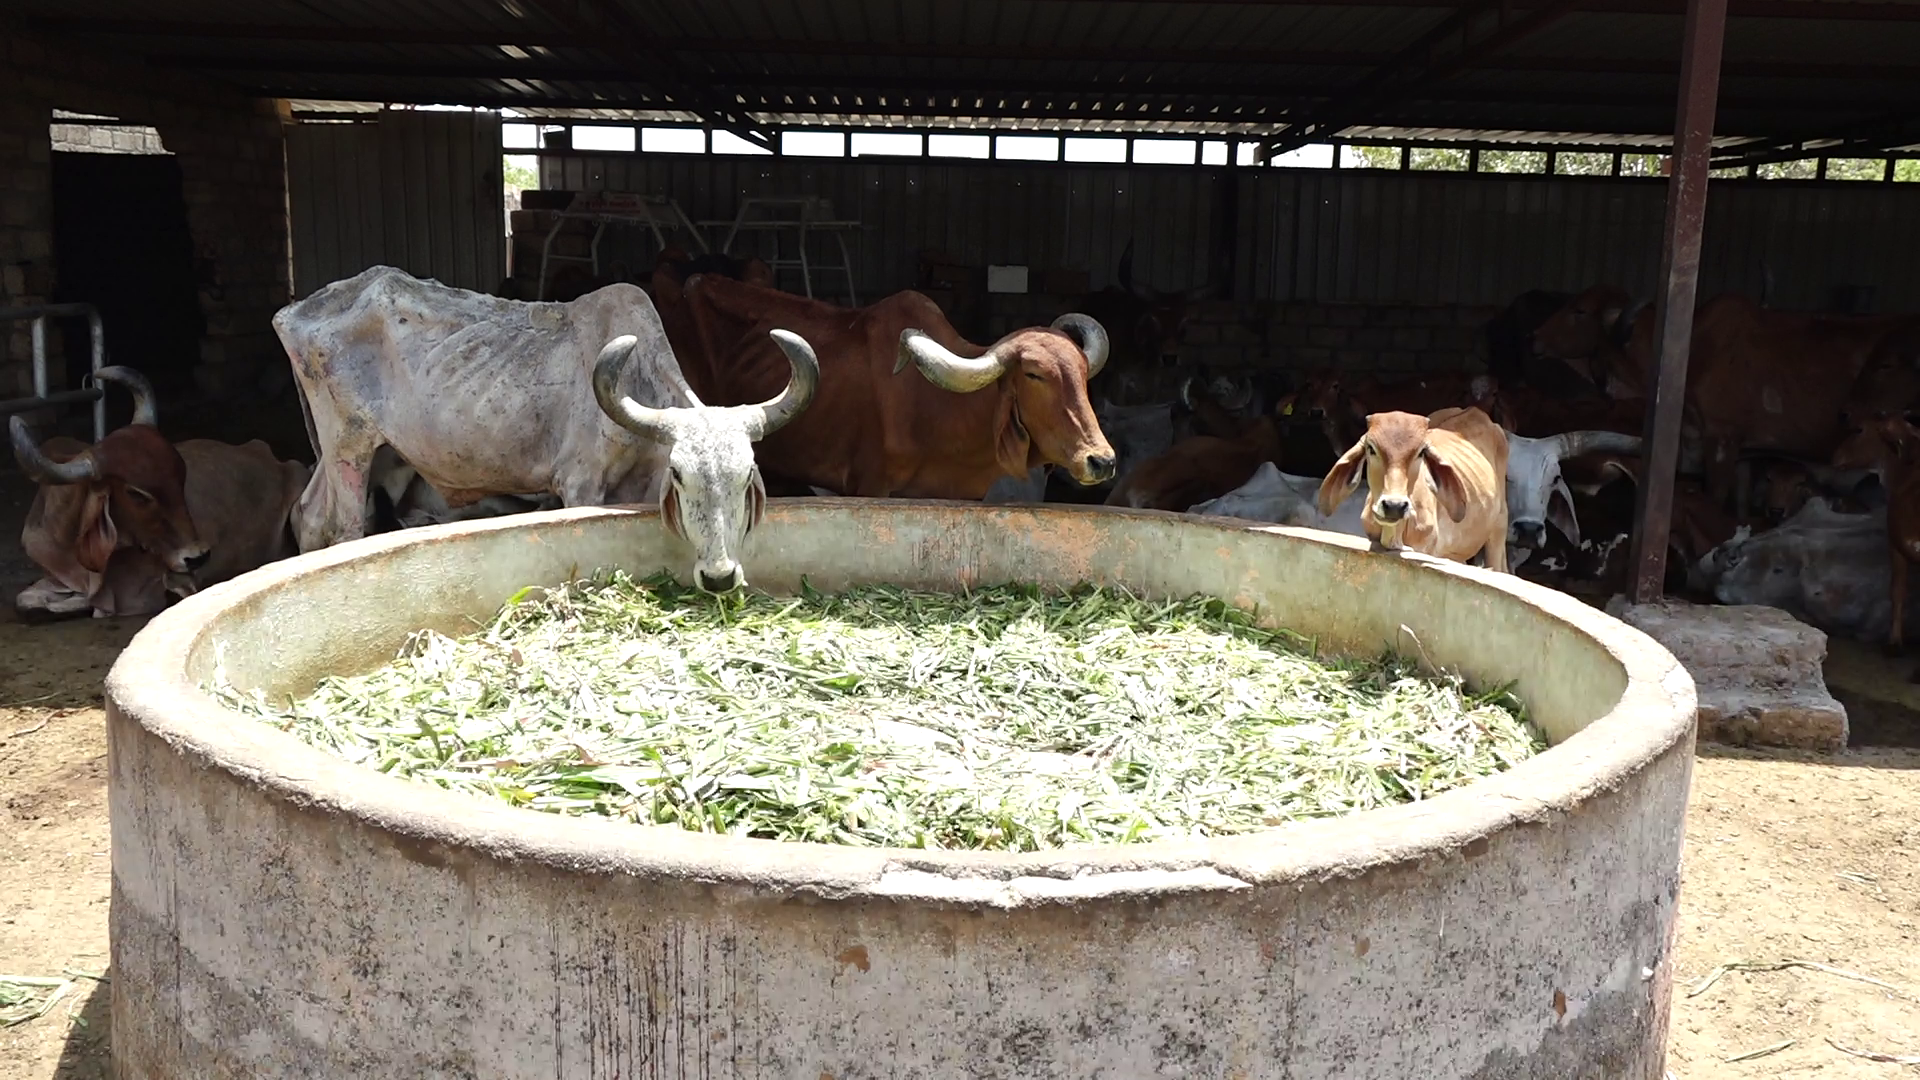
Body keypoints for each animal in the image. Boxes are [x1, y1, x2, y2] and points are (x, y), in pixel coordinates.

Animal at [272, 265, 817, 591]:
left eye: (746, 478)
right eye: (680, 477)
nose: (721, 576)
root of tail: (294, 310)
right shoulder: (579, 485)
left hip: (371, 451)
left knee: (309, 514)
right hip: (349, 443)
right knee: (343, 525)